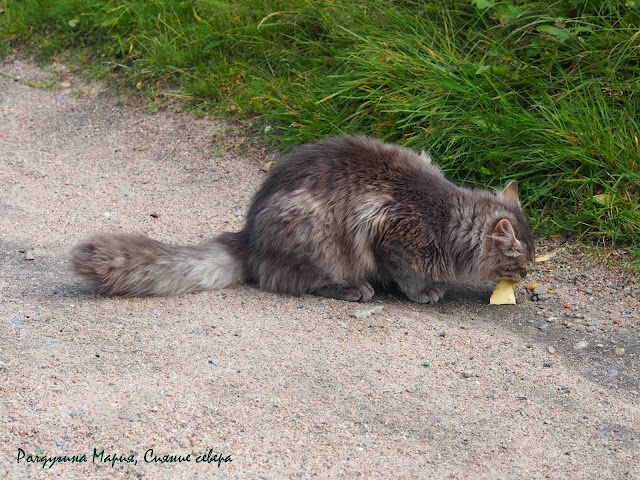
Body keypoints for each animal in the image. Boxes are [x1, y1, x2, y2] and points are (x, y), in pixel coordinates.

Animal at [71, 134, 536, 304]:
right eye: (522, 262)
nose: (530, 275)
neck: (446, 217)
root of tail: (248, 235)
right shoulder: (393, 236)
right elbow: (407, 275)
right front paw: (425, 291)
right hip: (317, 237)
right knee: (294, 281)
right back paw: (355, 289)